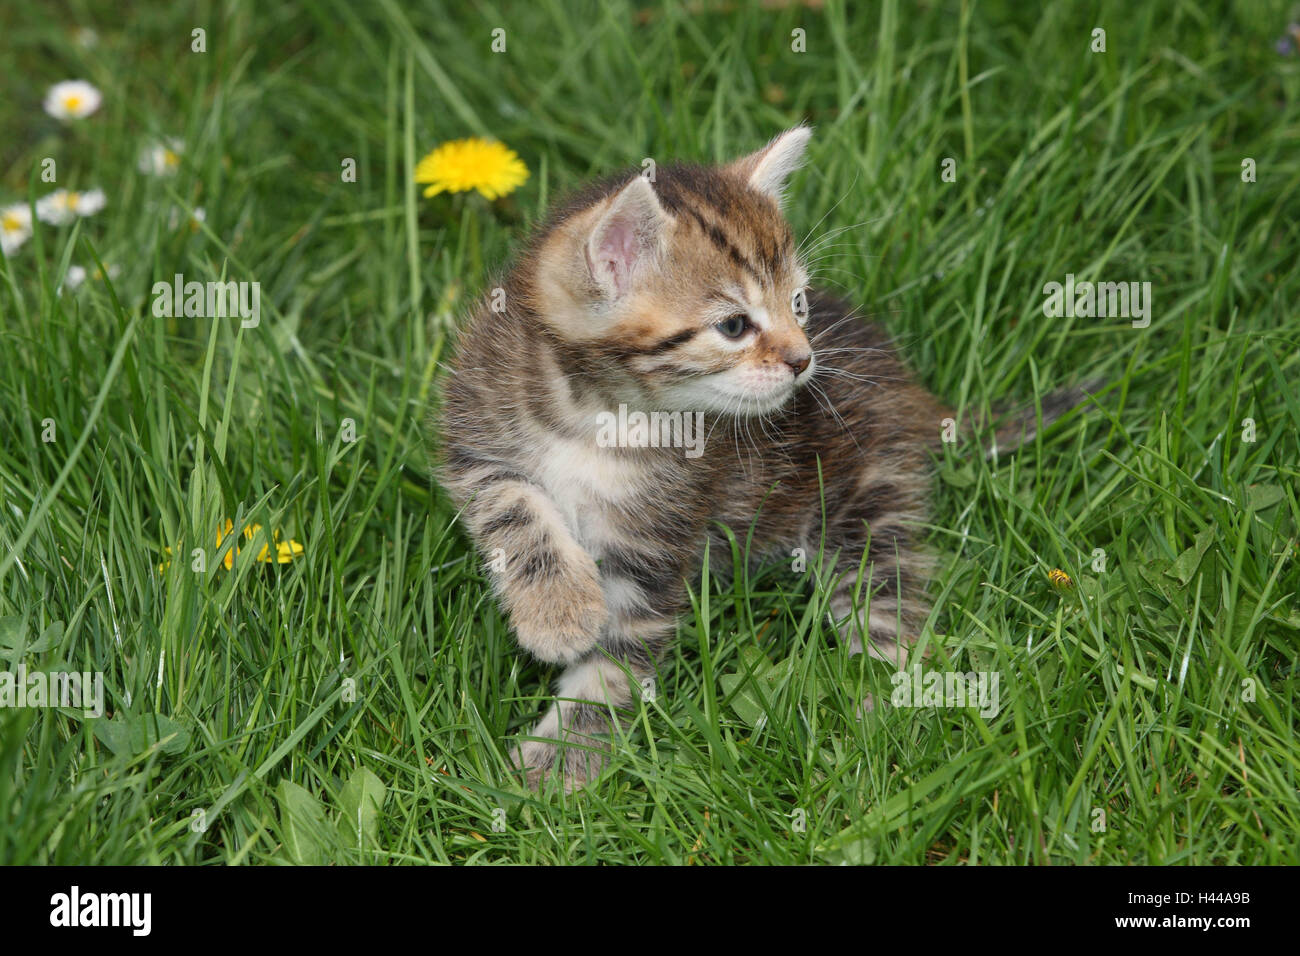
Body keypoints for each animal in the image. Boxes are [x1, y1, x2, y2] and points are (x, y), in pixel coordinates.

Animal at [434, 127, 1086, 790]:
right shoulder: (473, 433)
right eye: (733, 325)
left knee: (889, 606)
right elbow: (509, 503)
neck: (600, 416)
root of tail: (908, 387)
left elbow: (617, 657)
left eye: (796, 303)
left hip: (861, 502)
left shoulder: (659, 534)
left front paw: (558, 761)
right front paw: (557, 609)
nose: (803, 359)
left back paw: (880, 717)